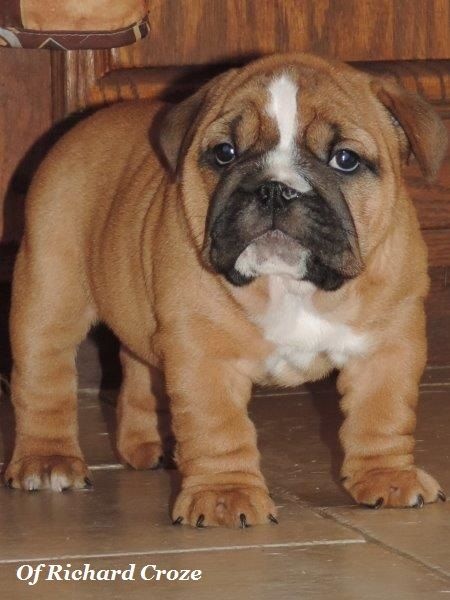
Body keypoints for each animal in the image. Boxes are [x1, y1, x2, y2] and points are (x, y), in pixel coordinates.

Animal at [5, 53, 447, 527]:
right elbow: (216, 425)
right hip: (50, 292)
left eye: (345, 159)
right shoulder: (204, 352)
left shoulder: (387, 345)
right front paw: (224, 495)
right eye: (224, 153)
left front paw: (388, 476)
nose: (275, 188)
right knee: (44, 379)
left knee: (138, 366)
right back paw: (47, 462)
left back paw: (148, 445)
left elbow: (382, 413)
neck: (290, 286)